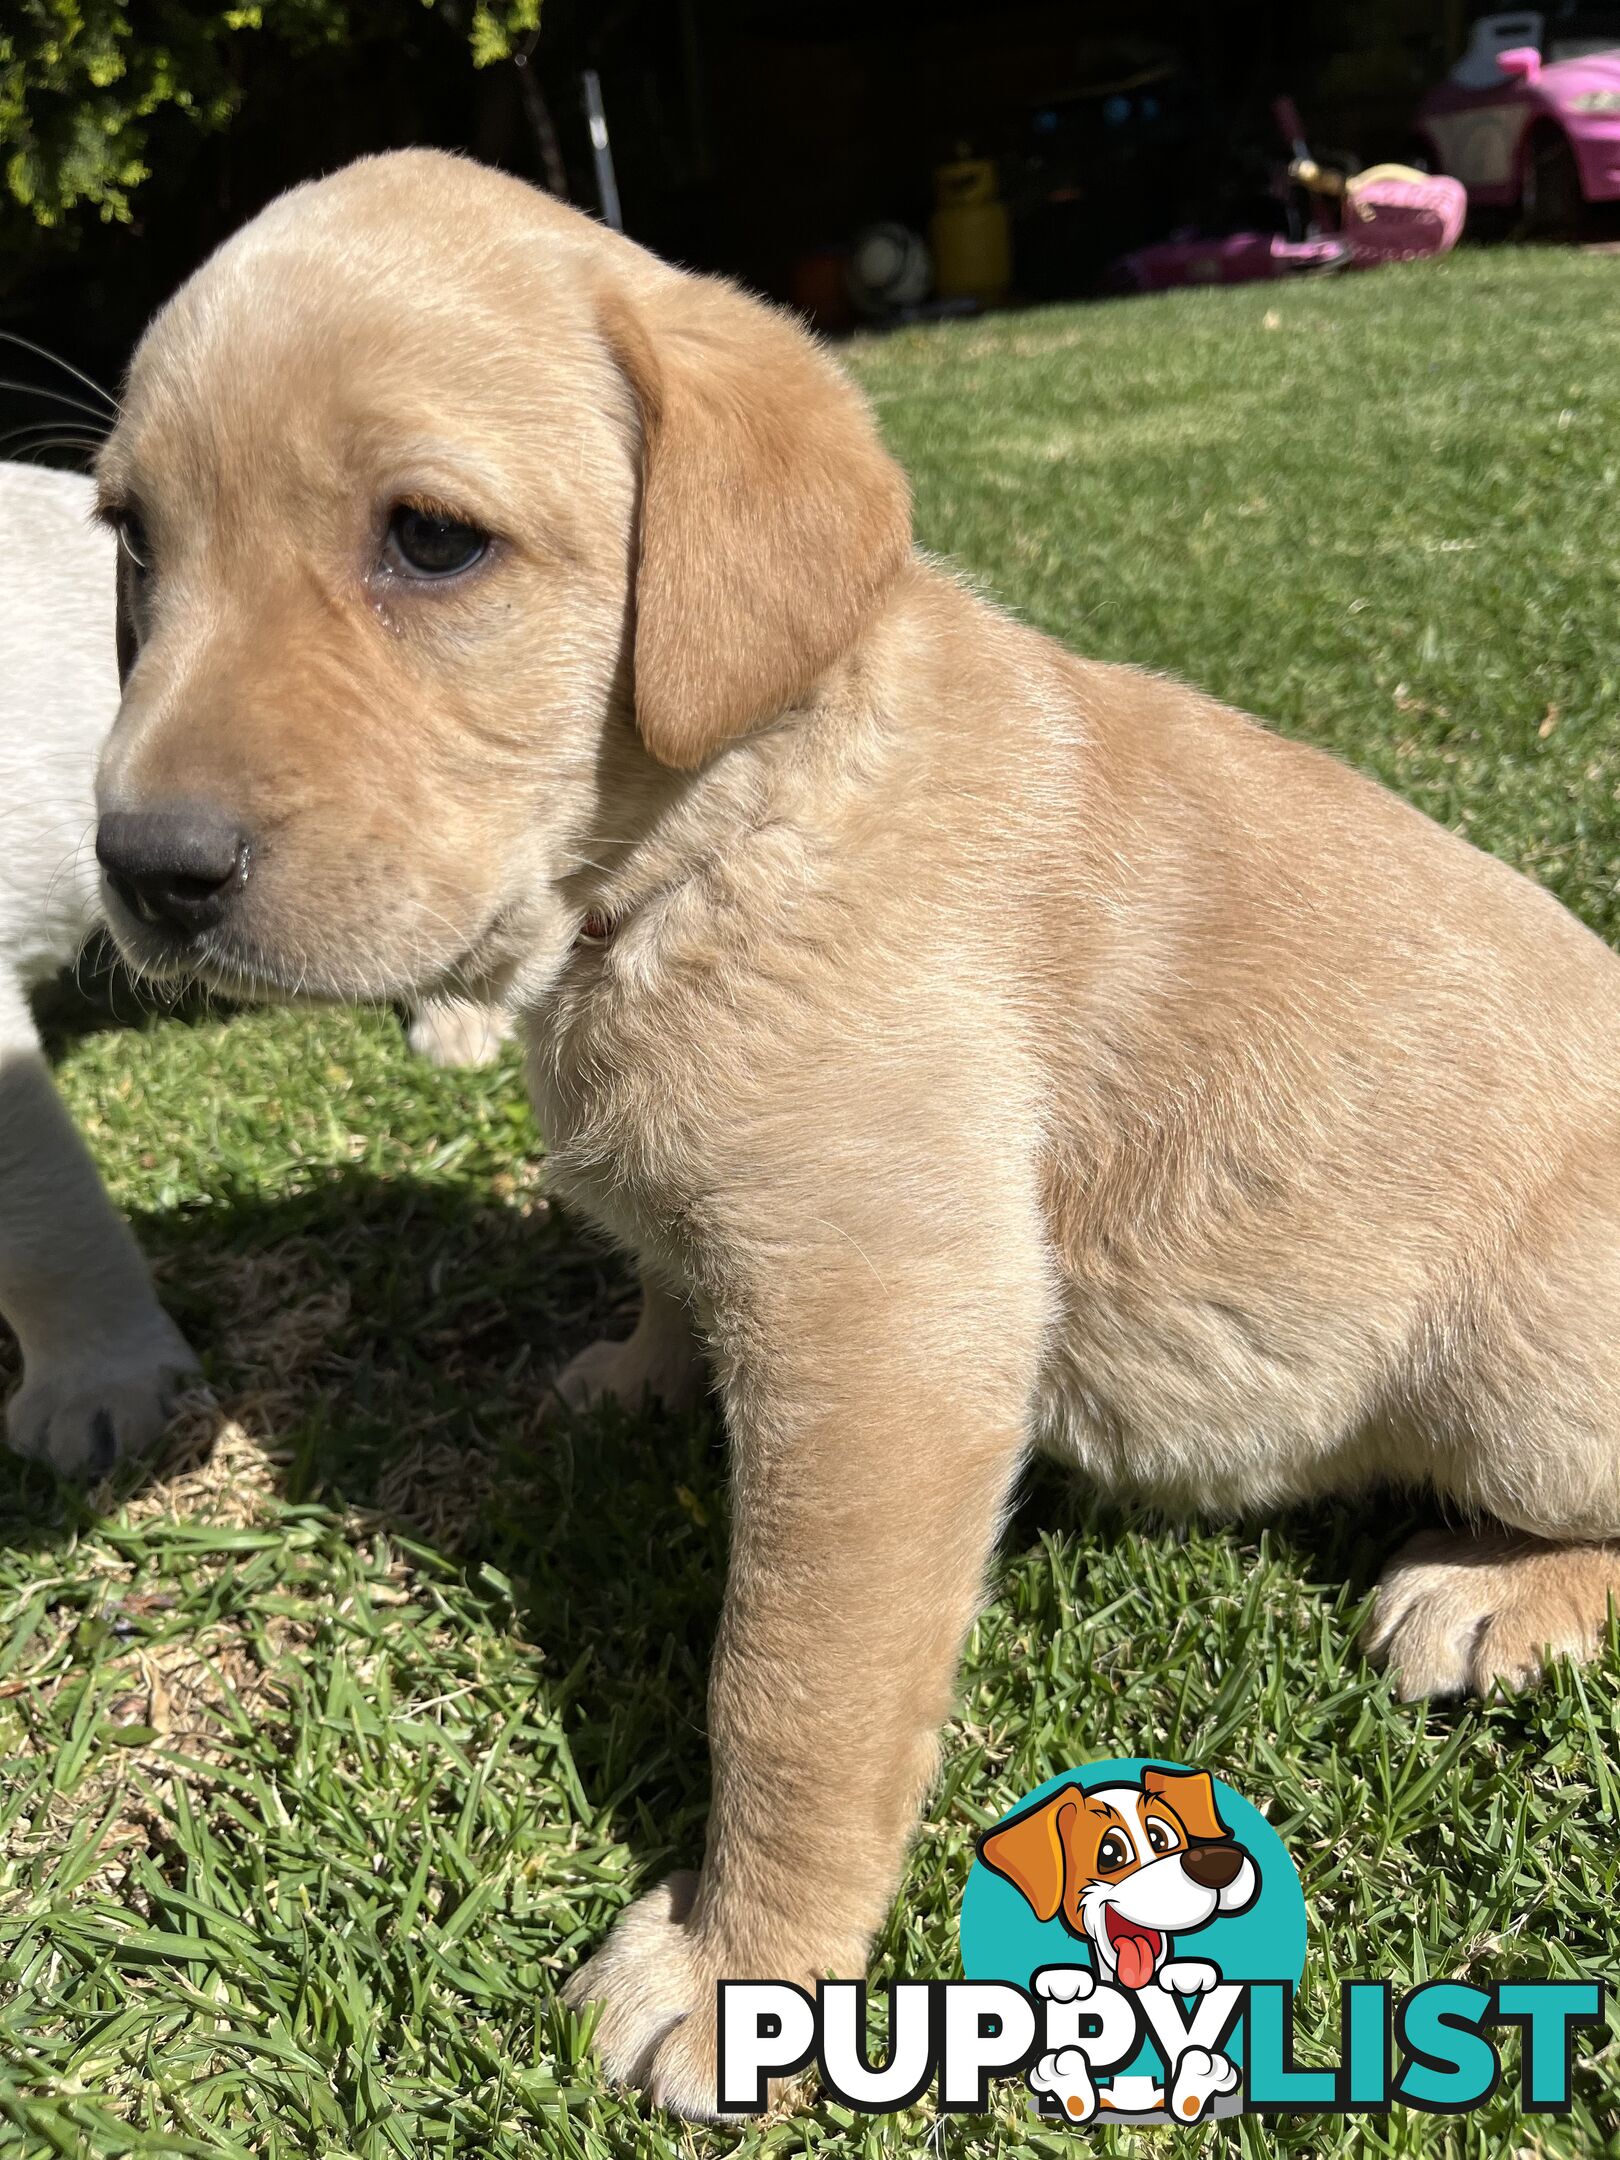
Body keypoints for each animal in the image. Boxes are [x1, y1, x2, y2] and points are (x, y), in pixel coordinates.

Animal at [95, 152, 1620, 2108]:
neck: (704, 848)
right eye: (133, 542)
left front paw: (742, 1970)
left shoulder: (885, 1336)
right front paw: (634, 1366)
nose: (141, 869)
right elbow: (663, 1271)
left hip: (1521, 1373)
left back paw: (1502, 1595)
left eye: (430, 540)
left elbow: (789, 1690)